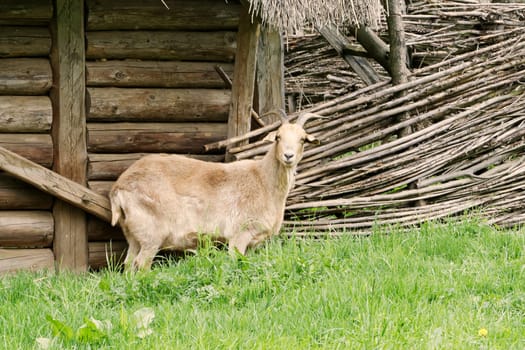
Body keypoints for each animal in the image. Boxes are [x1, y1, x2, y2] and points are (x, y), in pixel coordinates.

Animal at [108, 112, 318, 270]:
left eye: (302, 139)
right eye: (278, 137)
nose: (288, 156)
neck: (263, 180)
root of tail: (118, 187)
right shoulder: (239, 234)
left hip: (134, 235)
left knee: (128, 264)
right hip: (151, 234)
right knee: (140, 264)